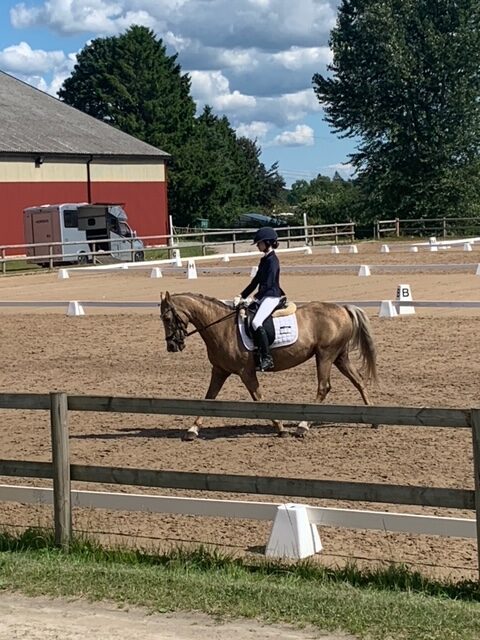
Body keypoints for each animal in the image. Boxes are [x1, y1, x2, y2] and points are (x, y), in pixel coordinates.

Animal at [159, 291, 377, 440]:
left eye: (167, 318)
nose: (172, 346)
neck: (221, 328)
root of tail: (343, 308)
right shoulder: (220, 371)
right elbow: (209, 398)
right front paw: (192, 430)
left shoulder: (245, 372)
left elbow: (258, 397)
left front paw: (280, 428)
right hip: (340, 357)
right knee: (359, 381)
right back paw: (372, 418)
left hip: (325, 355)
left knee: (324, 387)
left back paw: (302, 426)